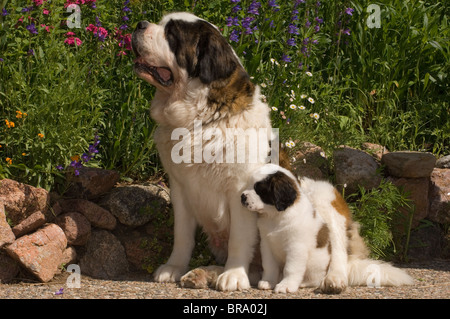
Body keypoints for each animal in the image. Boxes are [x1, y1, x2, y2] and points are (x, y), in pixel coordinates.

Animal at [241, 165, 414, 296]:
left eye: (260, 190)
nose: (242, 196)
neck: (275, 217)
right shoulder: (267, 242)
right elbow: (269, 264)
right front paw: (267, 281)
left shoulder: (296, 246)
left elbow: (292, 267)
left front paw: (285, 286)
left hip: (326, 207)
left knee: (337, 255)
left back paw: (332, 281)